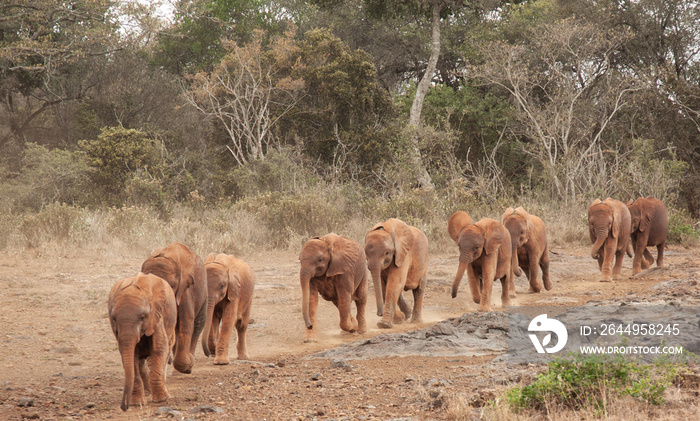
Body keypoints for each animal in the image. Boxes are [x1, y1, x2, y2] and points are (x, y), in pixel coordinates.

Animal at [108, 272, 178, 410]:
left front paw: (161, 400)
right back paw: (147, 392)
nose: (124, 407)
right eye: (114, 319)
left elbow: (159, 348)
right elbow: (130, 355)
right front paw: (137, 403)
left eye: (142, 318)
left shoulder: (156, 315)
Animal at [140, 241, 206, 372]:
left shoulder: (185, 292)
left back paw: (189, 363)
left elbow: (186, 322)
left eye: (171, 286)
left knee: (197, 323)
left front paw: (188, 365)